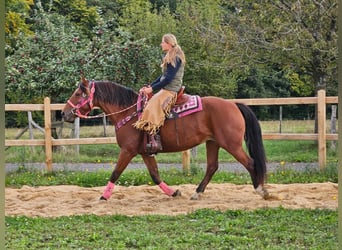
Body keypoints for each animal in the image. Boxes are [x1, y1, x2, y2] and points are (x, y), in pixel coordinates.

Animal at [62, 78, 270, 201]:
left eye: (78, 93)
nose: (64, 113)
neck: (130, 112)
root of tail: (233, 105)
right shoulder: (145, 152)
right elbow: (155, 175)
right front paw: (173, 192)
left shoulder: (128, 151)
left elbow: (115, 173)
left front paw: (103, 197)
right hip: (213, 143)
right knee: (212, 167)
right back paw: (197, 193)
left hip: (231, 144)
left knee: (250, 163)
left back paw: (261, 190)